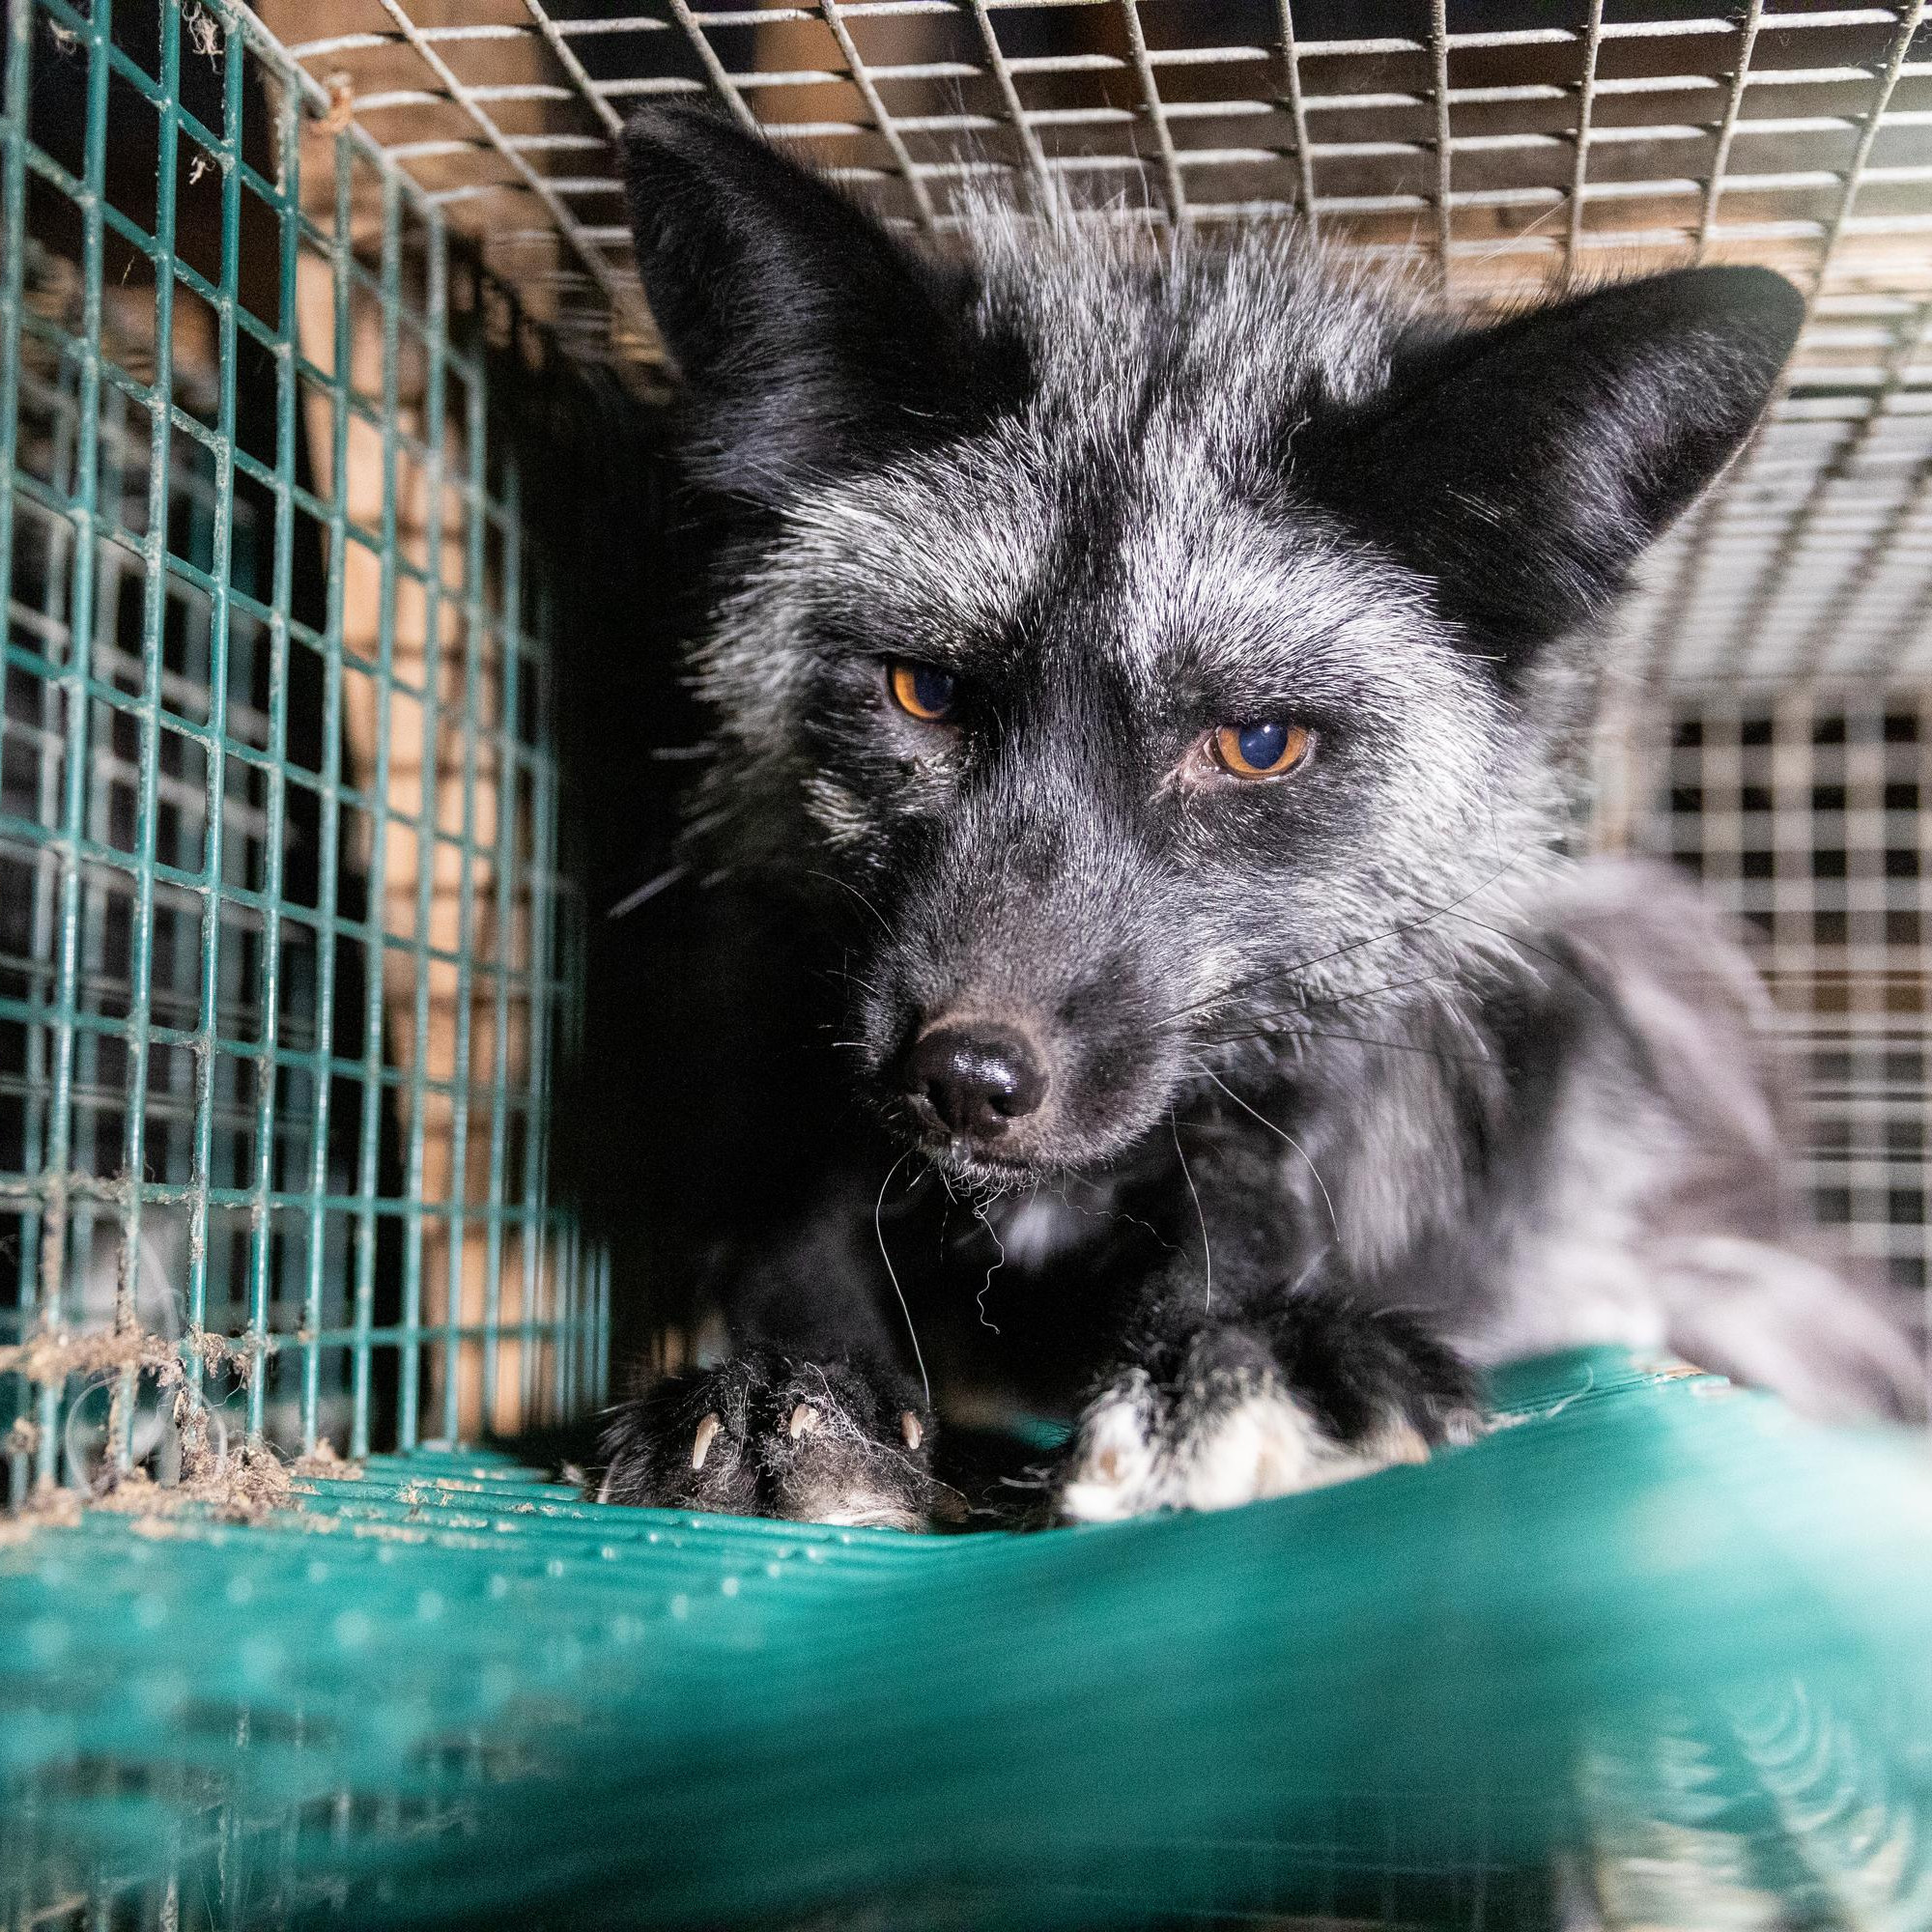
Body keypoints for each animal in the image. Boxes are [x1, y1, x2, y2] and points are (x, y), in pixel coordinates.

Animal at [589, 105, 1922, 1529]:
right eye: (925, 691)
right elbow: (795, 1215)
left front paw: (1234, 1354)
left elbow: (1247, 1200)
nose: (967, 1079)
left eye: (1258, 744)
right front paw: (793, 1383)